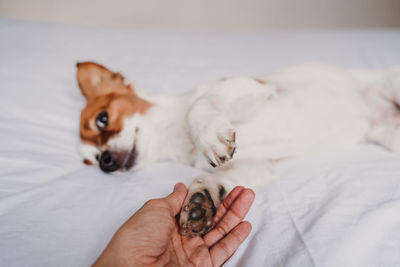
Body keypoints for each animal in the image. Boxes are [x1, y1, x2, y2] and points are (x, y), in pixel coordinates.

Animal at [76, 61, 400, 237]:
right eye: (91, 160)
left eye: (102, 118)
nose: (105, 162)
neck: (176, 140)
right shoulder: (258, 164)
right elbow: (217, 178)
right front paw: (202, 200)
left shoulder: (255, 88)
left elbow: (197, 105)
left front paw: (209, 136)